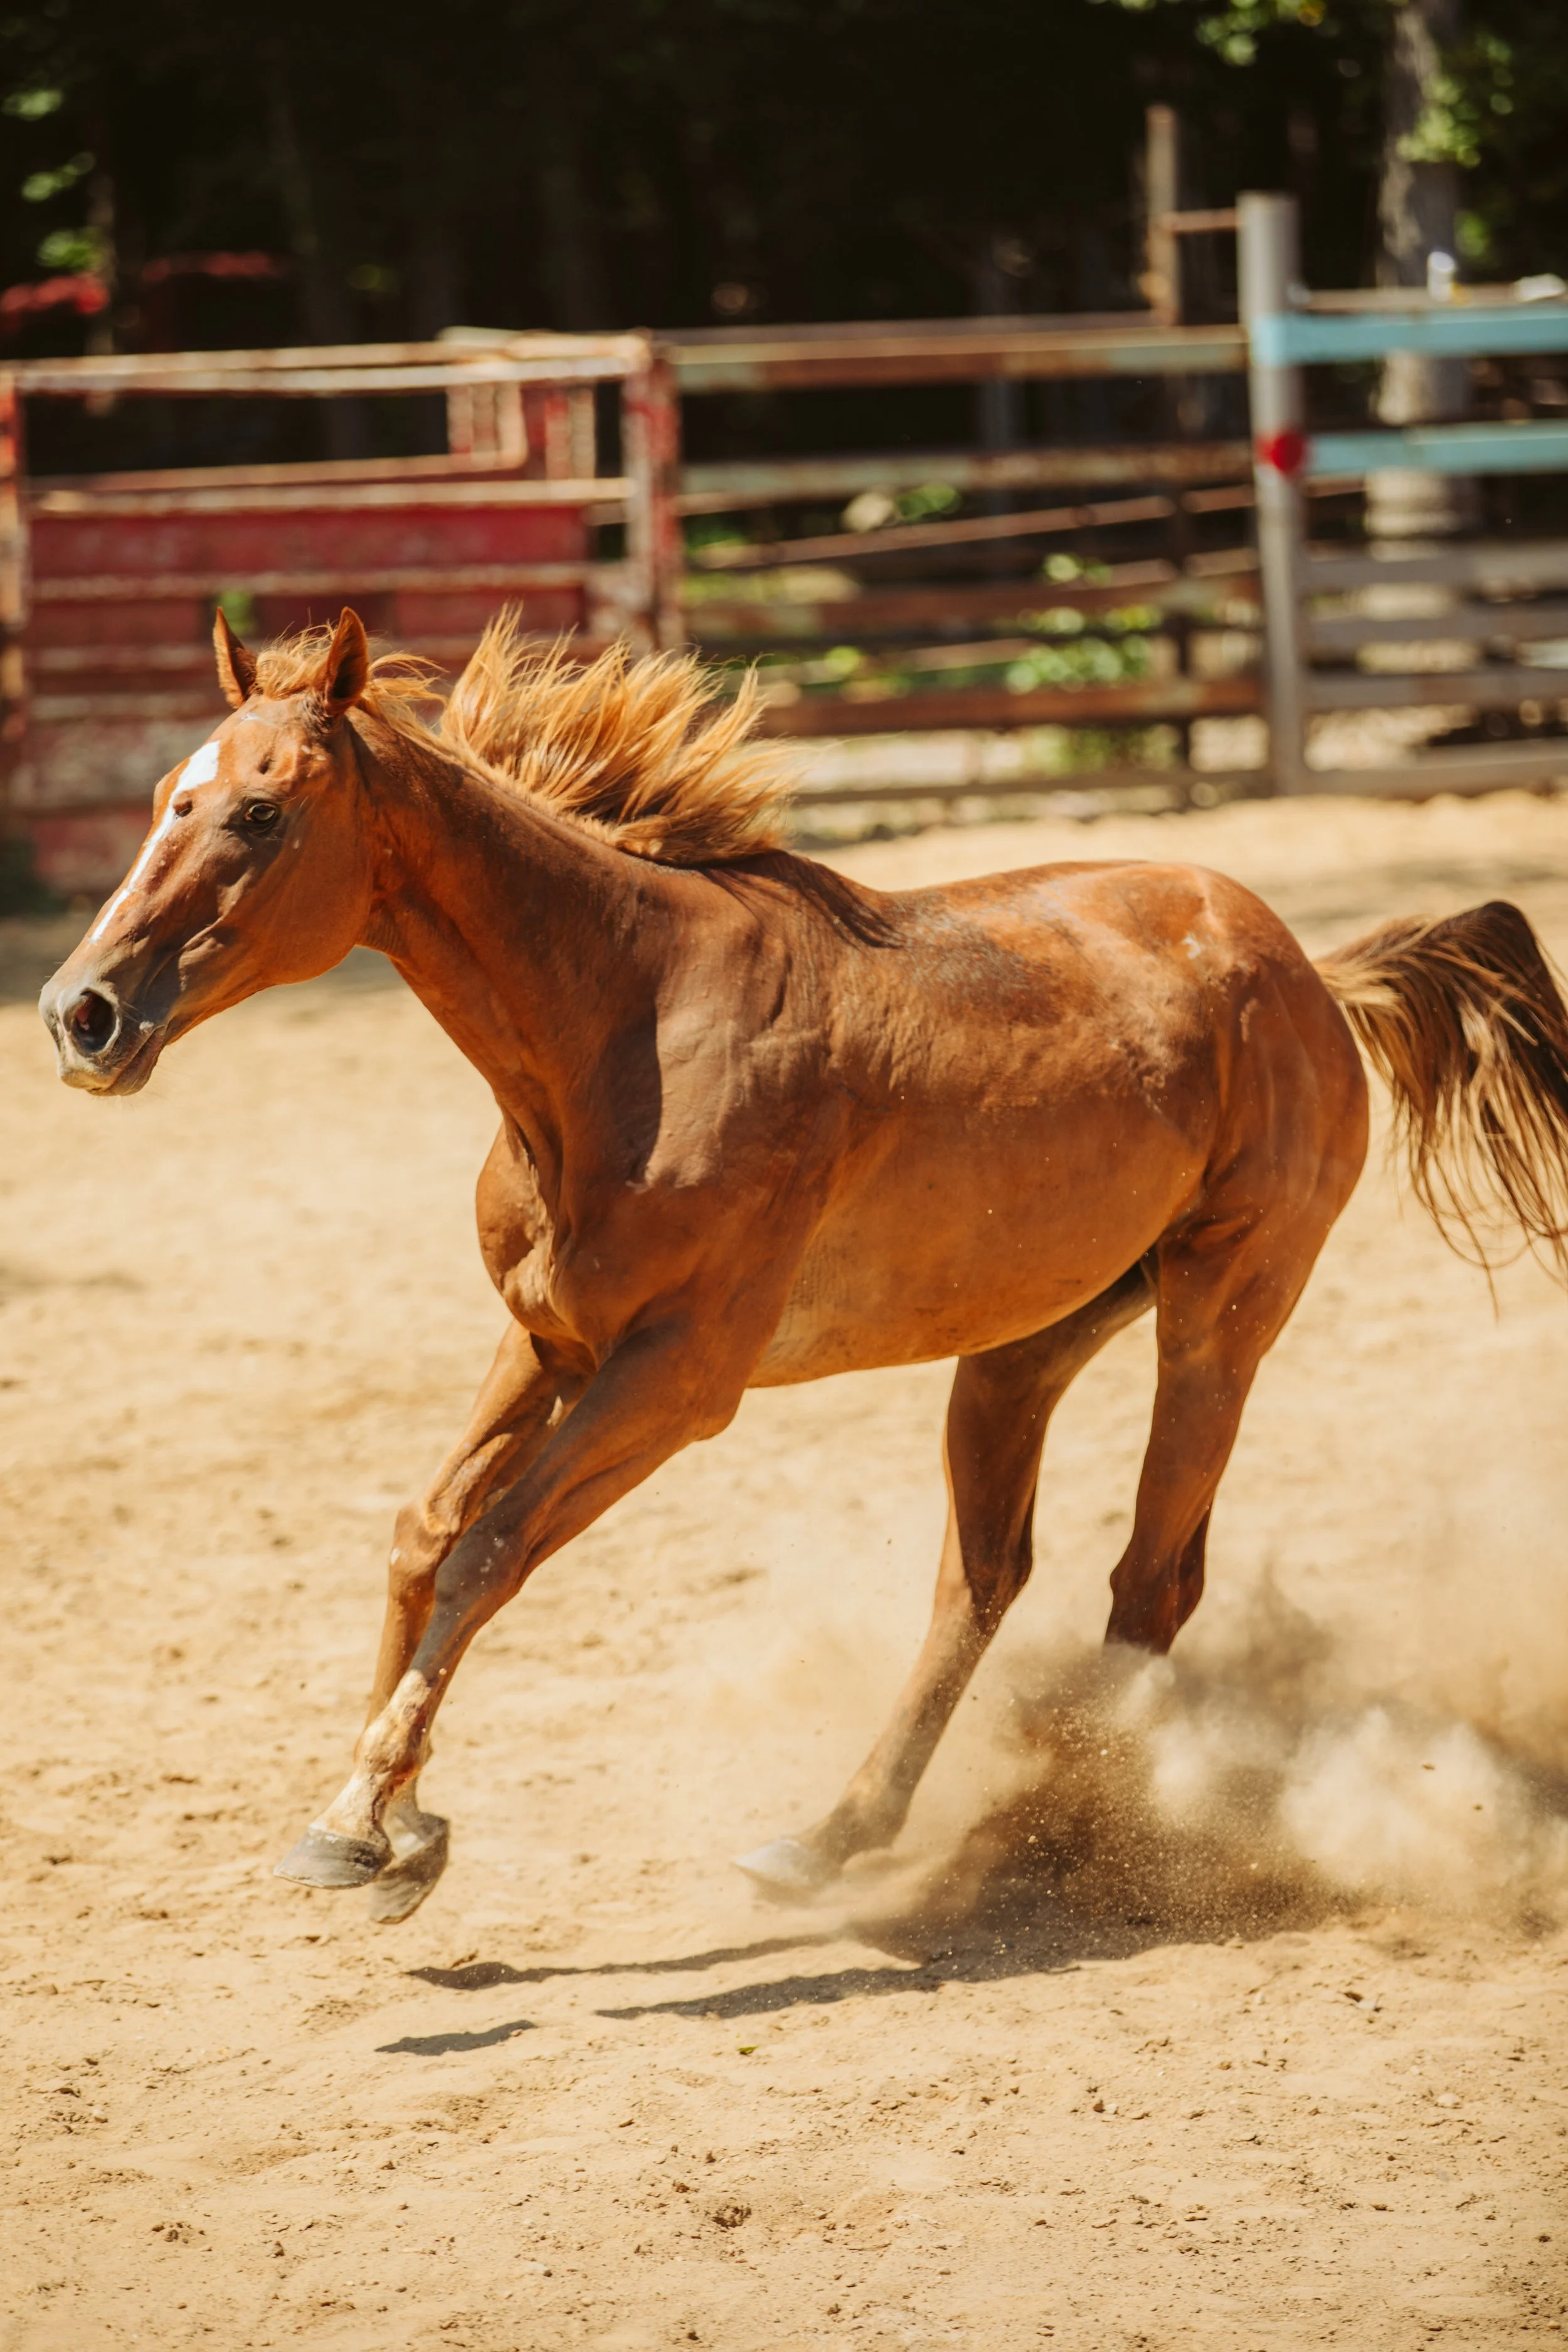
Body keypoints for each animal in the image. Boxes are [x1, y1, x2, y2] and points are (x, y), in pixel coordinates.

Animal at [39, 607, 1568, 1924]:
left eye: (257, 811)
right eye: (167, 794)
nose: (80, 1012)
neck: (626, 1030)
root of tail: (1309, 971)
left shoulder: (676, 1379)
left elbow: (491, 1549)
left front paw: (365, 1823)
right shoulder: (545, 1339)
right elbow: (426, 1533)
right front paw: (395, 1817)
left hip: (1222, 1312)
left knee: (1148, 1583)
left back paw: (1051, 1840)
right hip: (1021, 1346)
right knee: (983, 1581)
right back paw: (833, 1838)